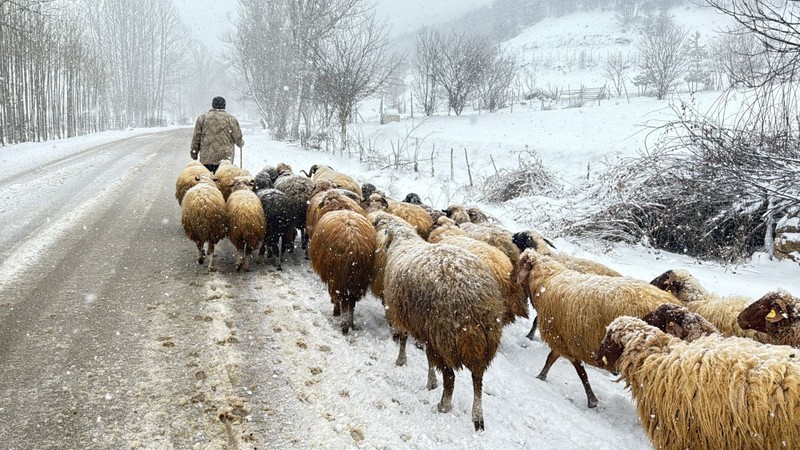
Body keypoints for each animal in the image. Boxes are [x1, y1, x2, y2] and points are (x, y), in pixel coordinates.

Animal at [516, 250, 680, 408]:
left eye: (519, 263)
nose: (512, 277)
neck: (547, 281)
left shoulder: (561, 338)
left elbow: (577, 370)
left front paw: (591, 400)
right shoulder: (567, 340)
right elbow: (554, 360)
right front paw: (542, 376)